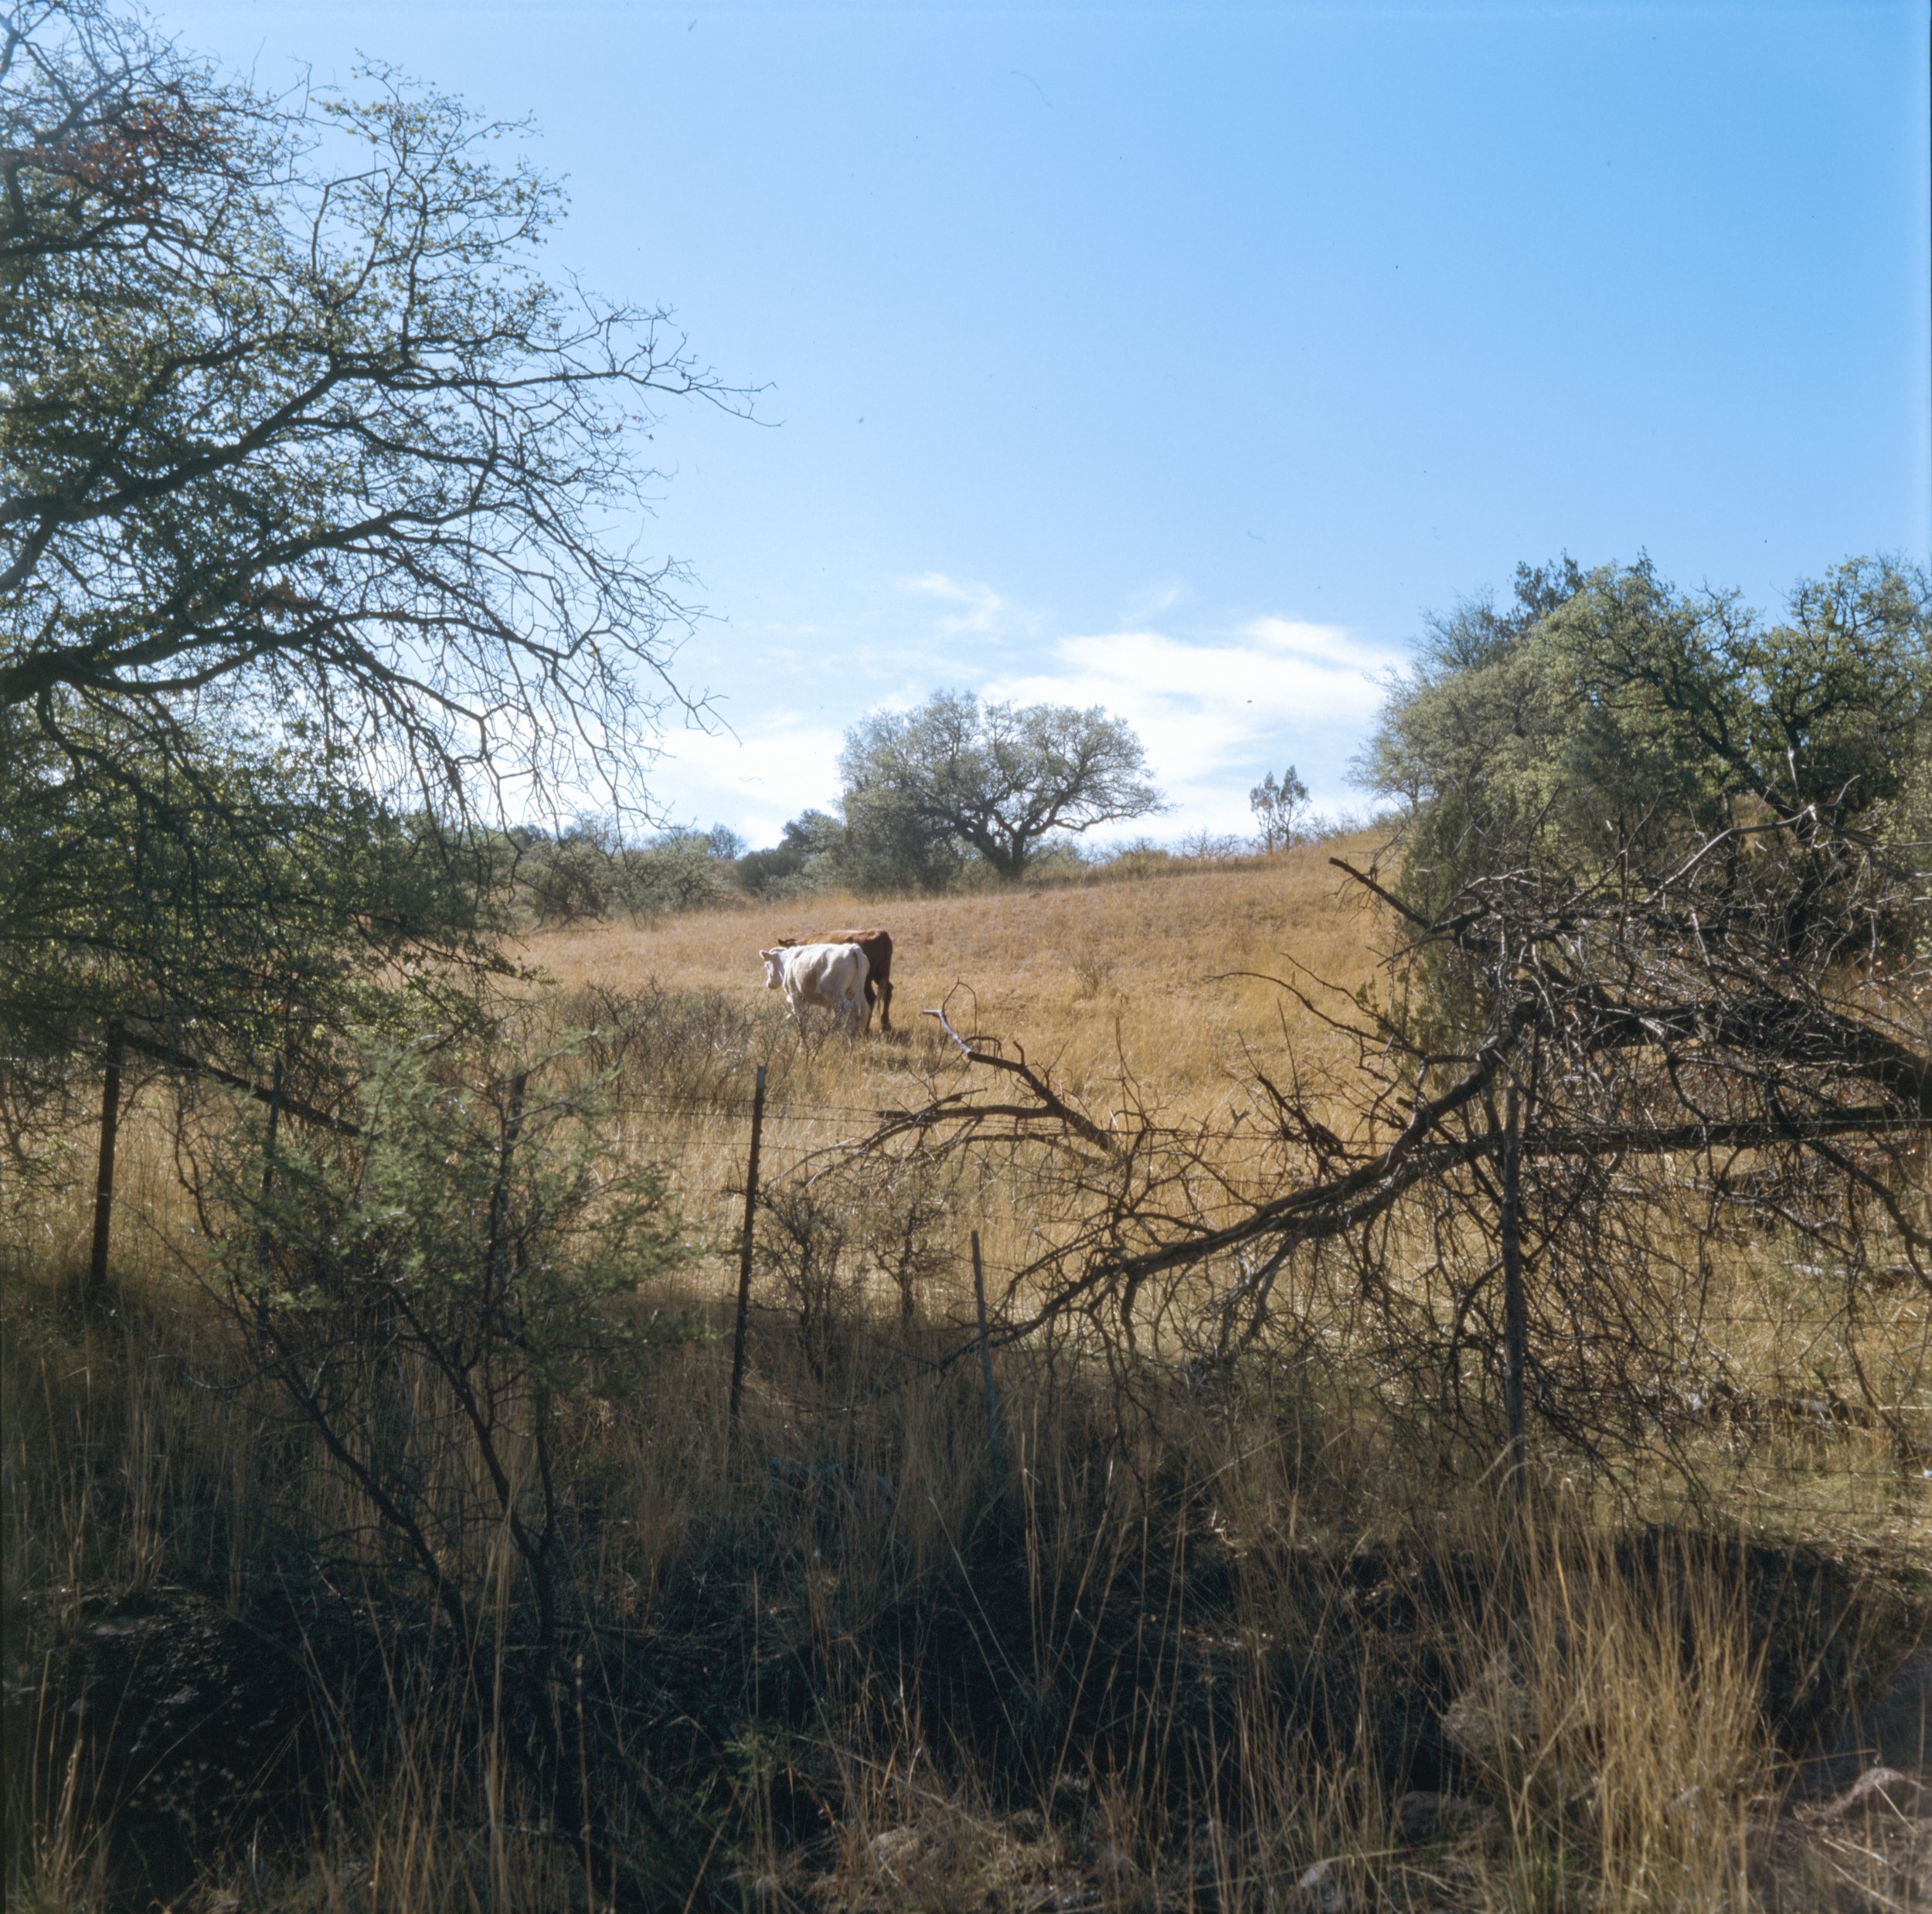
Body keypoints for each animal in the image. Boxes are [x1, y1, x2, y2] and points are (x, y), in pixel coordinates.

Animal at [757, 942, 873, 1035]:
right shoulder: (805, 1000)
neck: (788, 963)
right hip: (857, 992)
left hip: (836, 995)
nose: (769, 984)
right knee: (861, 1009)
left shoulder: (796, 997)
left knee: (846, 1009)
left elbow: (801, 1020)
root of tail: (851, 948)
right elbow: (790, 1017)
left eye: (767, 965)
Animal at [773, 926, 893, 1035]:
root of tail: (880, 933)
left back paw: (865, 1028)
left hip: (866, 981)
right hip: (880, 976)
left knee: (869, 999)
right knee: (886, 993)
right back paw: (885, 1026)